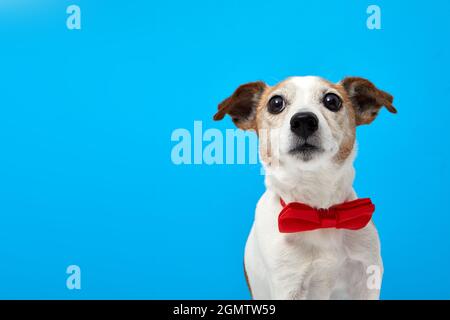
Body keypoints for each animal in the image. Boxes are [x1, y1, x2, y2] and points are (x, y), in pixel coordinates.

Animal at [213, 75, 396, 300]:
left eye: (332, 100)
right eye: (276, 103)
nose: (303, 121)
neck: (319, 212)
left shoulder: (366, 278)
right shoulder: (288, 285)